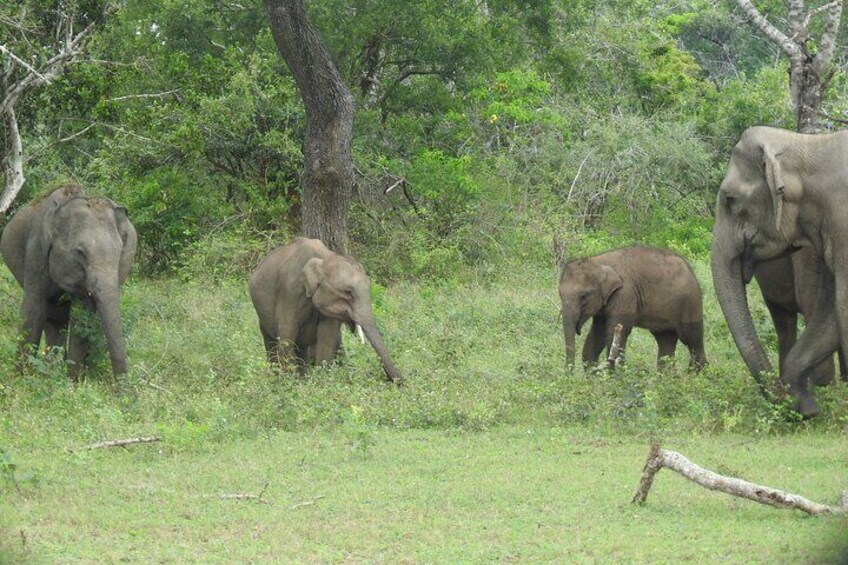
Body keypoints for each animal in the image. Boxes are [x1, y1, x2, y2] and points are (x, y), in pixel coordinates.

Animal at [0, 184, 137, 379]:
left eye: (119, 252)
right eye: (80, 252)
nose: (120, 385)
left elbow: (82, 313)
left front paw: (73, 380)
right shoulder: (36, 250)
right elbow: (34, 307)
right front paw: (21, 377)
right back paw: (50, 368)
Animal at [249, 237, 402, 383]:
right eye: (348, 292)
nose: (396, 381)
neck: (325, 258)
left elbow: (327, 336)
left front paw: (320, 382)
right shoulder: (289, 292)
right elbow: (287, 335)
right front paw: (290, 382)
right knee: (270, 341)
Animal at [559, 246, 707, 371]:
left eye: (583, 296)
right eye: (559, 294)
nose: (569, 375)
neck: (597, 261)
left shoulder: (625, 293)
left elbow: (615, 332)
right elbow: (597, 334)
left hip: (690, 303)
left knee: (692, 339)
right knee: (665, 339)